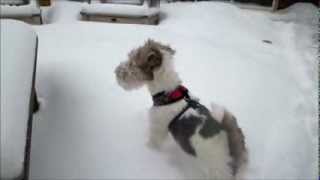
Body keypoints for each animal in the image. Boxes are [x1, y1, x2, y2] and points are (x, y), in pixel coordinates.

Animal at [115, 39, 248, 180]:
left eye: (132, 63)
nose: (116, 71)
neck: (168, 93)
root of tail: (234, 158)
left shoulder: (157, 129)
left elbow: (153, 143)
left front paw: (147, 150)